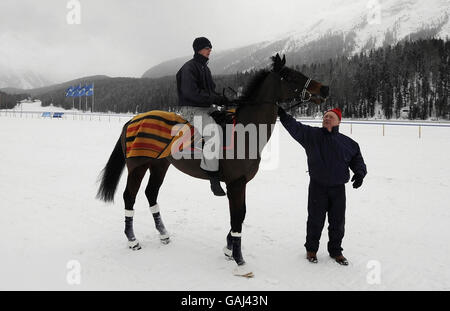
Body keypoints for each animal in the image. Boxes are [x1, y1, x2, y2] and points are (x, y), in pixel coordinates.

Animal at [96, 54, 328, 278]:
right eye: (290, 76)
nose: (324, 89)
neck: (245, 132)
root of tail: (134, 119)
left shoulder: (241, 183)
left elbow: (241, 215)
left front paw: (229, 249)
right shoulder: (235, 183)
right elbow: (237, 216)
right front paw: (240, 261)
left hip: (159, 165)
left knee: (151, 193)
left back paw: (163, 234)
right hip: (138, 166)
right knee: (129, 196)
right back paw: (132, 240)